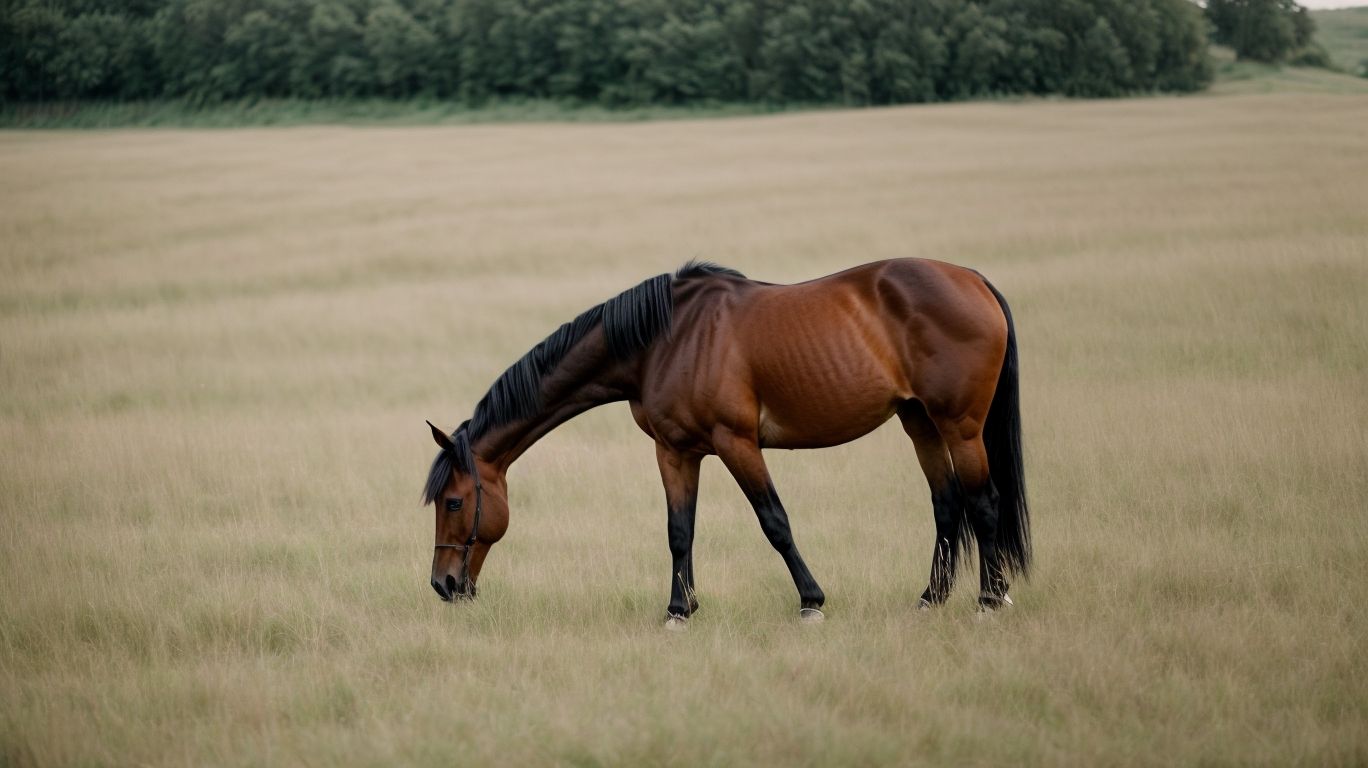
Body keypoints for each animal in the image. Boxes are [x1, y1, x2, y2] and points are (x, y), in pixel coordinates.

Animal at [423, 259, 1030, 627]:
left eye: (453, 502)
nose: (443, 585)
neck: (664, 340)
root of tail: (974, 280)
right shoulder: (675, 450)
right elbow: (680, 531)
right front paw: (679, 610)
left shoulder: (736, 443)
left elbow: (774, 521)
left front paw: (811, 602)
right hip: (918, 421)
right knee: (947, 504)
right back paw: (931, 599)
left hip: (960, 425)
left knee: (984, 502)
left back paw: (989, 600)